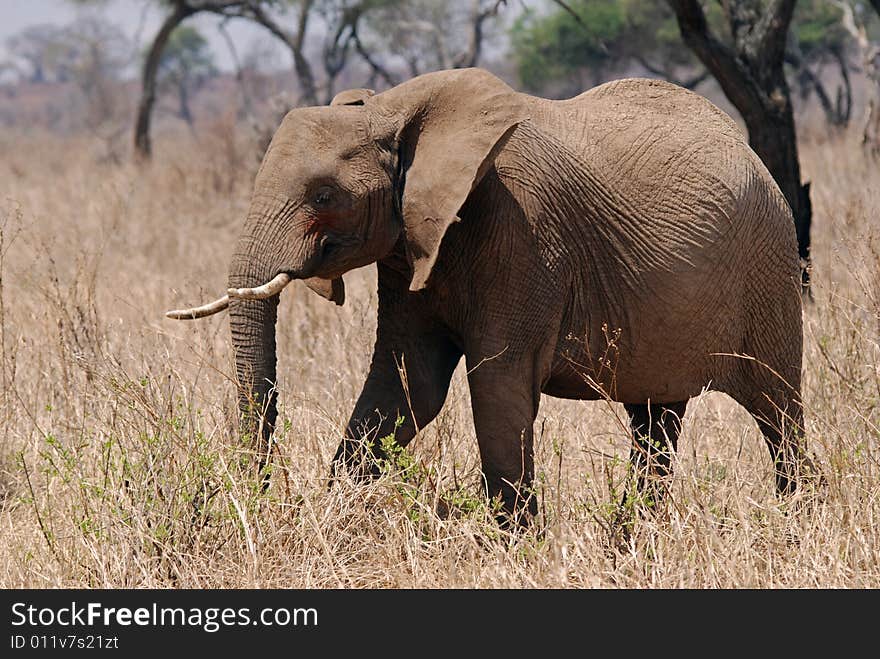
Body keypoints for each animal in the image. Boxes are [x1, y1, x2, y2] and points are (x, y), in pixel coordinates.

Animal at [168, 68, 816, 524]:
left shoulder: (524, 236)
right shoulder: (413, 243)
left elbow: (498, 385)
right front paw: (332, 520)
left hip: (771, 272)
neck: (392, 110)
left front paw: (520, 550)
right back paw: (630, 540)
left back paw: (798, 522)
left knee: (778, 412)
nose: (259, 500)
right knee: (655, 421)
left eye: (324, 195)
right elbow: (409, 386)